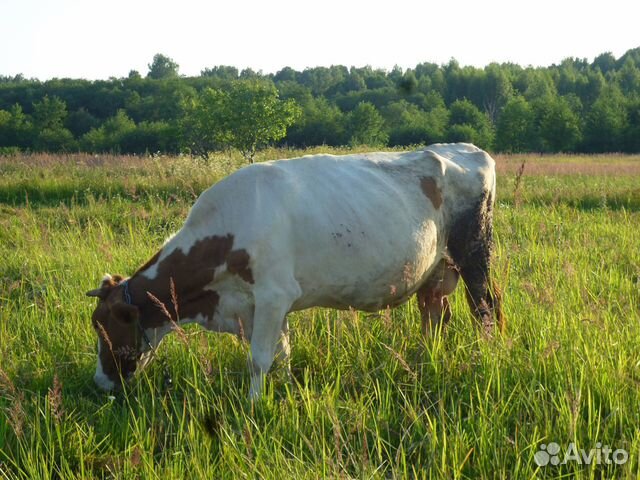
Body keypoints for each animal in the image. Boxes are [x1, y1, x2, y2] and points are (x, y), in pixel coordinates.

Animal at [87, 142, 502, 398]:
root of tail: (467, 149)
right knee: (435, 315)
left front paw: (253, 406)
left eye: (108, 328)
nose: (100, 383)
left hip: (474, 254)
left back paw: (487, 357)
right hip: (435, 269)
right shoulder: (263, 306)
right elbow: (282, 351)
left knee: (486, 307)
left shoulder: (273, 295)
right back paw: (423, 361)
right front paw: (284, 390)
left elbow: (259, 358)